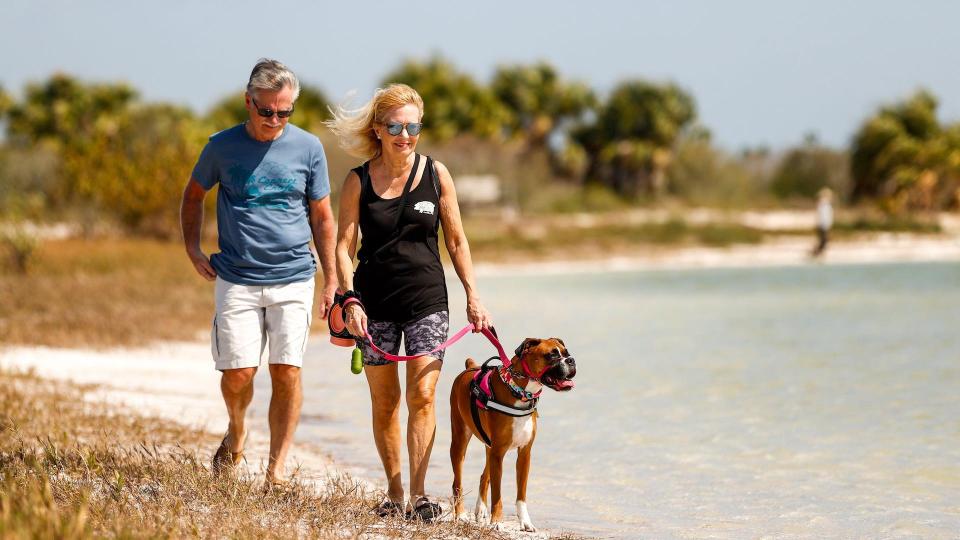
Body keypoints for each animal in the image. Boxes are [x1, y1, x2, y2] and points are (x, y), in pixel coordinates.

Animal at [450, 338, 576, 532]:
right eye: (552, 355)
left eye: (566, 352)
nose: (571, 360)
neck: (519, 391)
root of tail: (470, 367)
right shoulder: (498, 454)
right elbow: (497, 495)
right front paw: (496, 522)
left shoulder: (523, 454)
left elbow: (521, 495)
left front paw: (525, 522)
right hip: (460, 441)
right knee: (457, 482)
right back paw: (462, 515)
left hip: (489, 447)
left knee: (483, 477)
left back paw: (480, 509)